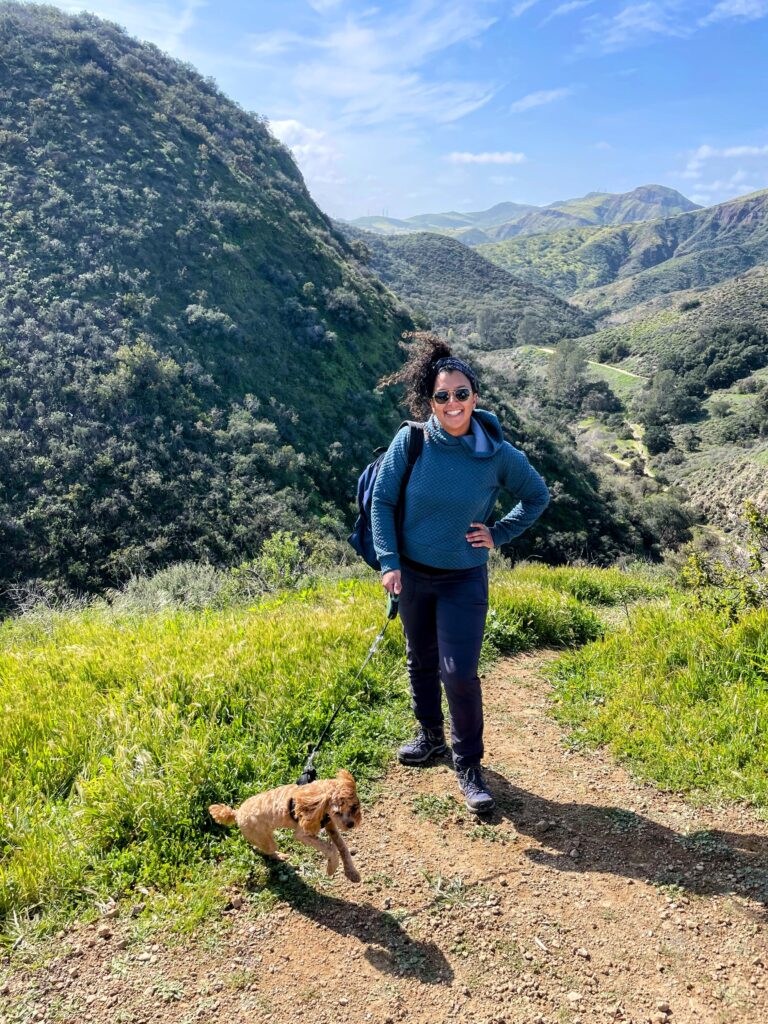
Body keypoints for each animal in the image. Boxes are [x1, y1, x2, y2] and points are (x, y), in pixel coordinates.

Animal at [208, 770, 364, 884]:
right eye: (337, 812)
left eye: (354, 807)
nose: (351, 824)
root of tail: (236, 813)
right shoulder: (303, 833)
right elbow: (330, 848)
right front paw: (332, 868)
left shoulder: (330, 825)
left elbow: (342, 847)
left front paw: (352, 873)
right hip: (264, 840)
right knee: (261, 849)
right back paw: (278, 855)